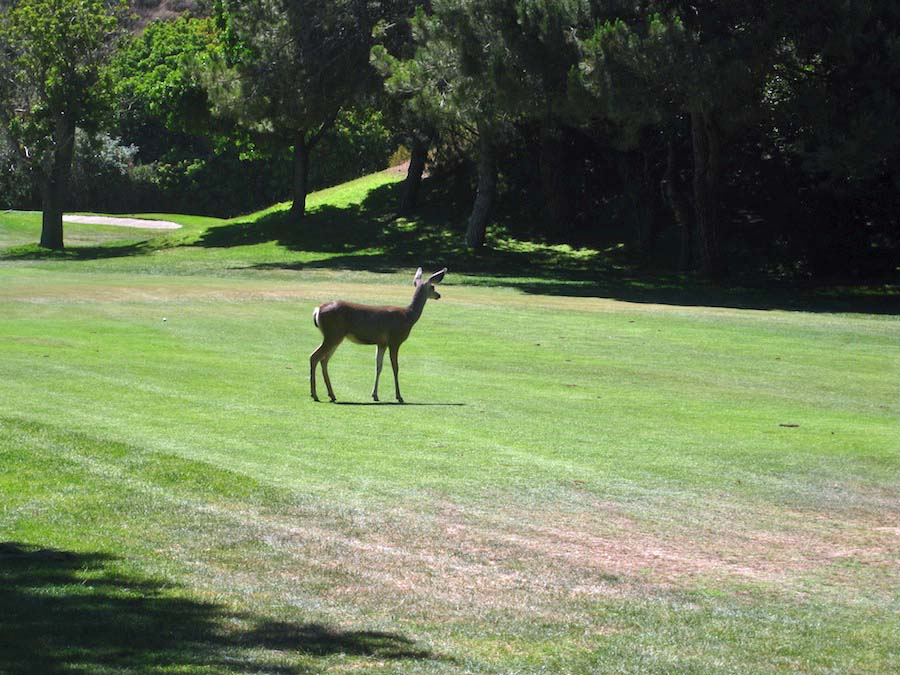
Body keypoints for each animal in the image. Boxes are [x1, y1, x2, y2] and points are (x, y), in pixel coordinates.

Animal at [312, 266, 448, 404]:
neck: (408, 316)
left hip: (335, 337)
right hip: (332, 334)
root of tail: (317, 310)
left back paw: (332, 395)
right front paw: (399, 396)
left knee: (323, 360)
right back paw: (315, 395)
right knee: (314, 357)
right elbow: (395, 367)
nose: (438, 295)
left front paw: (375, 395)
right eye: (432, 287)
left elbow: (378, 366)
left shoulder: (382, 343)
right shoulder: (395, 340)